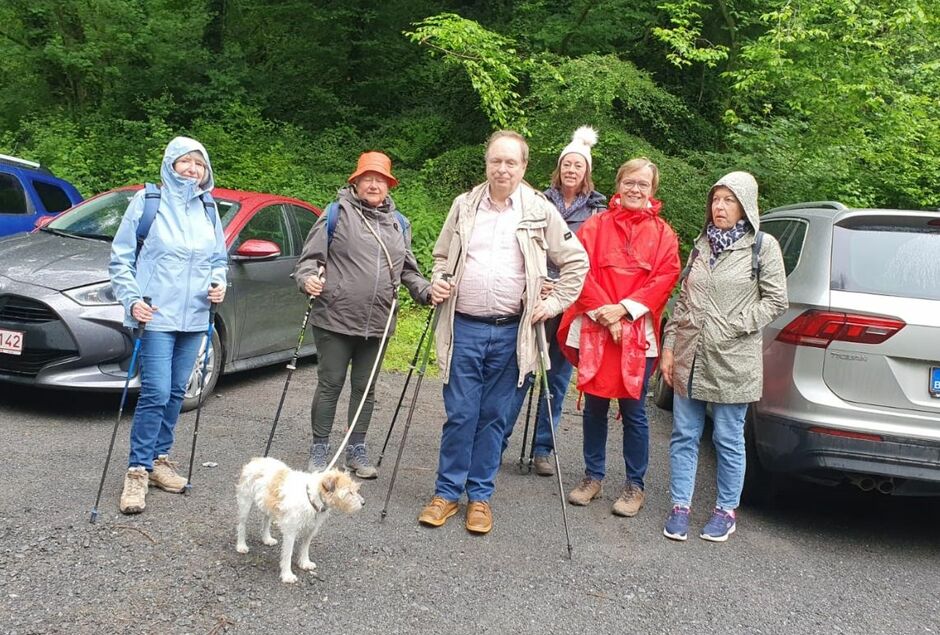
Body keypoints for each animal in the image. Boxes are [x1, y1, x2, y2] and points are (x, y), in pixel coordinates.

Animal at [235, 458, 364, 588]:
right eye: (349, 492)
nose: (363, 503)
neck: (312, 498)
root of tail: (257, 460)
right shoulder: (290, 533)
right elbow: (288, 554)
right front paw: (287, 575)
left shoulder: (310, 531)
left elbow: (305, 548)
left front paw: (305, 563)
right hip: (245, 504)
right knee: (242, 525)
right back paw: (241, 545)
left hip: (267, 503)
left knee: (266, 521)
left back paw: (267, 539)